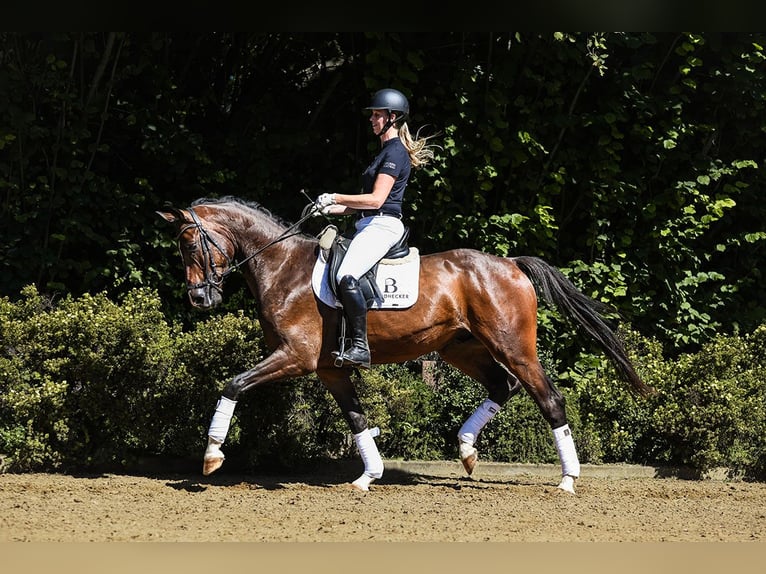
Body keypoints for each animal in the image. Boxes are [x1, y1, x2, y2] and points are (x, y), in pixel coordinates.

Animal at [158, 197, 656, 496]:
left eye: (190, 245)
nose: (199, 299)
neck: (283, 267)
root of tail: (510, 264)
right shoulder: (328, 368)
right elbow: (357, 418)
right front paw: (369, 477)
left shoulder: (294, 358)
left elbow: (232, 384)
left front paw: (211, 456)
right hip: (462, 348)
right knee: (503, 387)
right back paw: (467, 450)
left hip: (512, 345)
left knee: (548, 398)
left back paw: (568, 480)